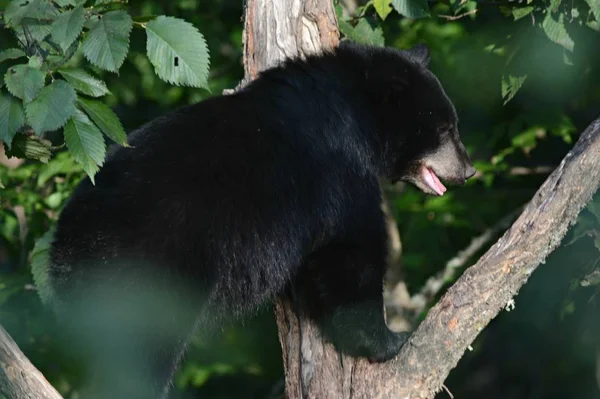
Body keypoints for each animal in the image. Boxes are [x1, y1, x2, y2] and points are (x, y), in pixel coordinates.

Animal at [48, 41, 474, 399]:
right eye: (444, 128)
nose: (468, 171)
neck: (354, 112)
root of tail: (69, 241)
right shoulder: (339, 170)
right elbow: (350, 251)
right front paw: (391, 340)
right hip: (150, 267)